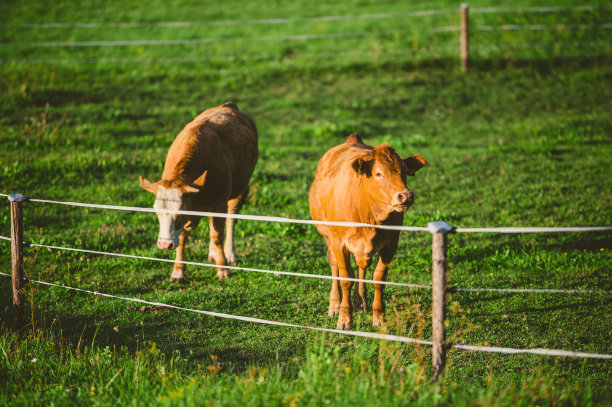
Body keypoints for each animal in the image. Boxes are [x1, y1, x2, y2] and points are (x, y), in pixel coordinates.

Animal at [140, 102, 256, 282]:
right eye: (157, 212)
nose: (165, 244)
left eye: (179, 213)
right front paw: (178, 270)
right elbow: (182, 238)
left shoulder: (219, 204)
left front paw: (223, 269)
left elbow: (217, 237)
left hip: (241, 190)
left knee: (231, 220)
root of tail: (228, 105)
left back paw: (229, 254)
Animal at [310, 135, 426, 332]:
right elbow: (345, 278)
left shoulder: (391, 244)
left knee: (361, 266)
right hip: (327, 235)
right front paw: (344, 317)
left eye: (404, 171)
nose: (406, 195)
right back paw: (334, 304)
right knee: (334, 264)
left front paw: (378, 316)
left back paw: (361, 302)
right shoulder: (339, 243)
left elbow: (379, 278)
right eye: (378, 174)